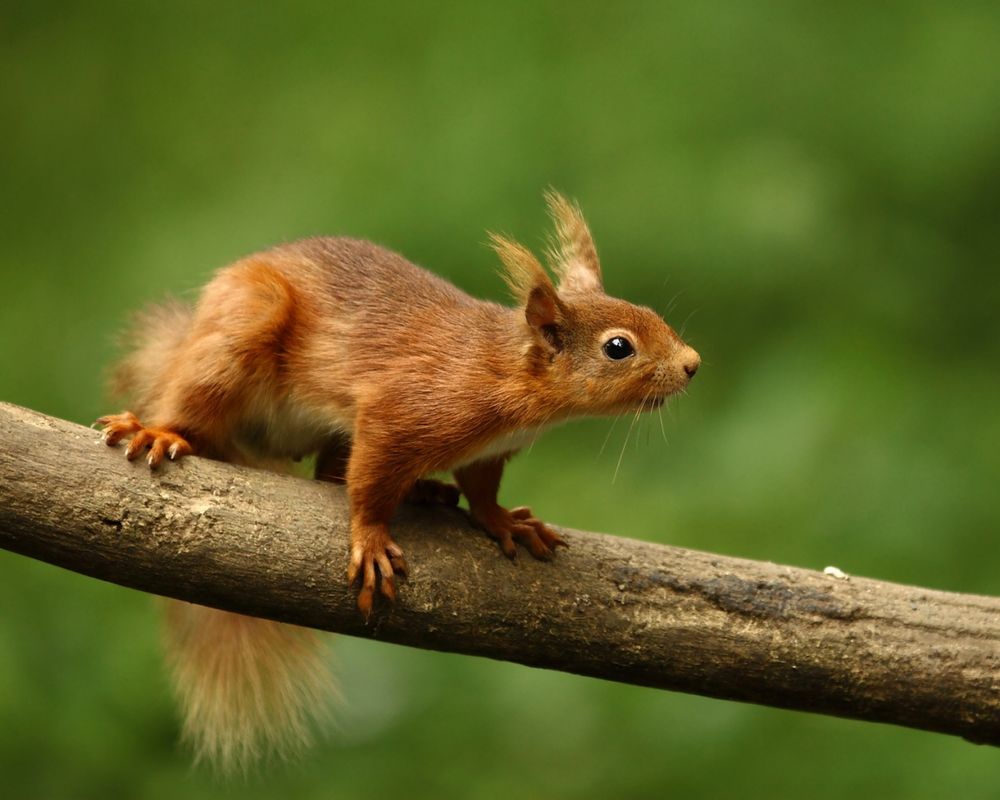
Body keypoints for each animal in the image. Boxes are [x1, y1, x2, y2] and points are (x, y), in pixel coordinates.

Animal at [97, 191, 700, 770]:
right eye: (618, 347)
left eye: (649, 312)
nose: (693, 363)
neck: (505, 373)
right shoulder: (401, 413)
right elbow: (369, 484)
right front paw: (370, 540)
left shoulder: (488, 451)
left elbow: (481, 489)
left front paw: (504, 522)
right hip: (241, 330)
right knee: (197, 403)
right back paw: (157, 430)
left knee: (328, 472)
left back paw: (425, 490)